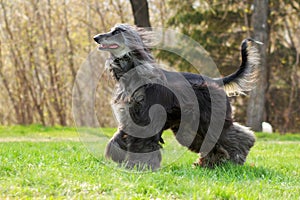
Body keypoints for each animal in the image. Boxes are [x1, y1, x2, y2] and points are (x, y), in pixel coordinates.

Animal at [94, 23, 260, 170]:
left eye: (117, 31)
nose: (96, 38)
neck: (135, 73)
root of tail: (215, 81)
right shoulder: (130, 118)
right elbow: (119, 138)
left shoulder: (145, 119)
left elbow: (141, 144)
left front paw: (139, 166)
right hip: (189, 127)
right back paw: (209, 164)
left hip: (209, 119)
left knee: (238, 137)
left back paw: (235, 159)